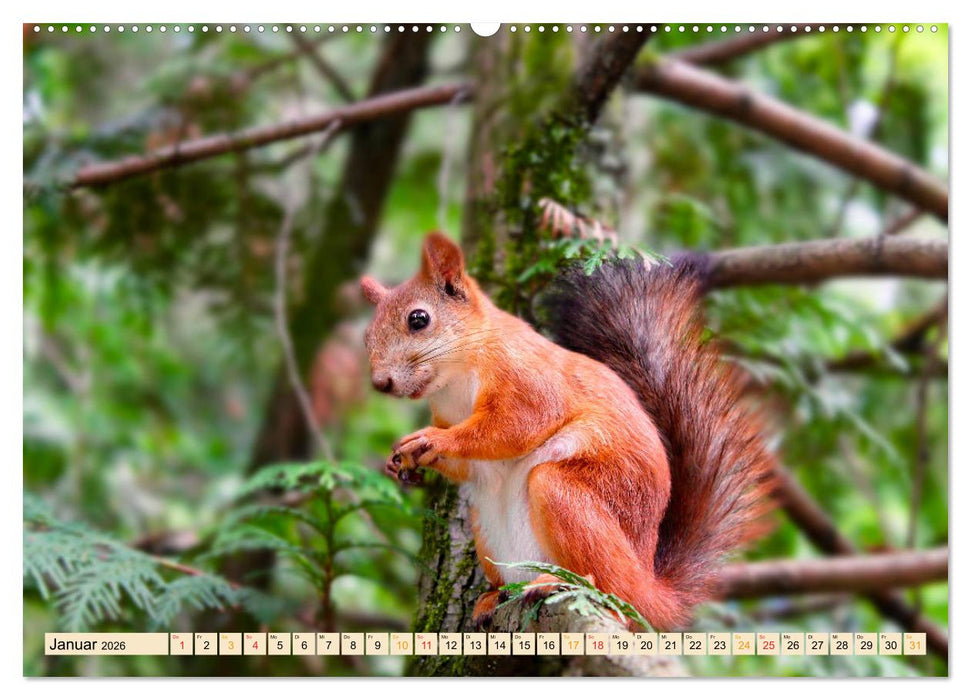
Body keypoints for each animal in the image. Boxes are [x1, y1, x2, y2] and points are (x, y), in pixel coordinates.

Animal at [360, 232, 776, 630]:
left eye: (419, 319)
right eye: (366, 337)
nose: (380, 383)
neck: (456, 380)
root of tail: (650, 588)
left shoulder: (527, 379)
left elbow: (514, 426)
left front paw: (433, 440)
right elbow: (470, 464)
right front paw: (403, 462)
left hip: (568, 498)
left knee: (610, 587)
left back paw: (561, 583)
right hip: (487, 531)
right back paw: (493, 597)